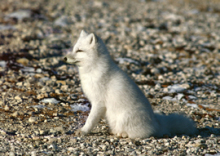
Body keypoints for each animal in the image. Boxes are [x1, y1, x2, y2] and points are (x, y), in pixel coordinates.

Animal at [63, 29, 196, 138]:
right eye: (74, 49)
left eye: (79, 50)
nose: (64, 58)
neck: (93, 70)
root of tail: (157, 123)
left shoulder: (98, 103)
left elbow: (90, 120)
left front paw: (83, 131)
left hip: (124, 119)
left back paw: (122, 134)